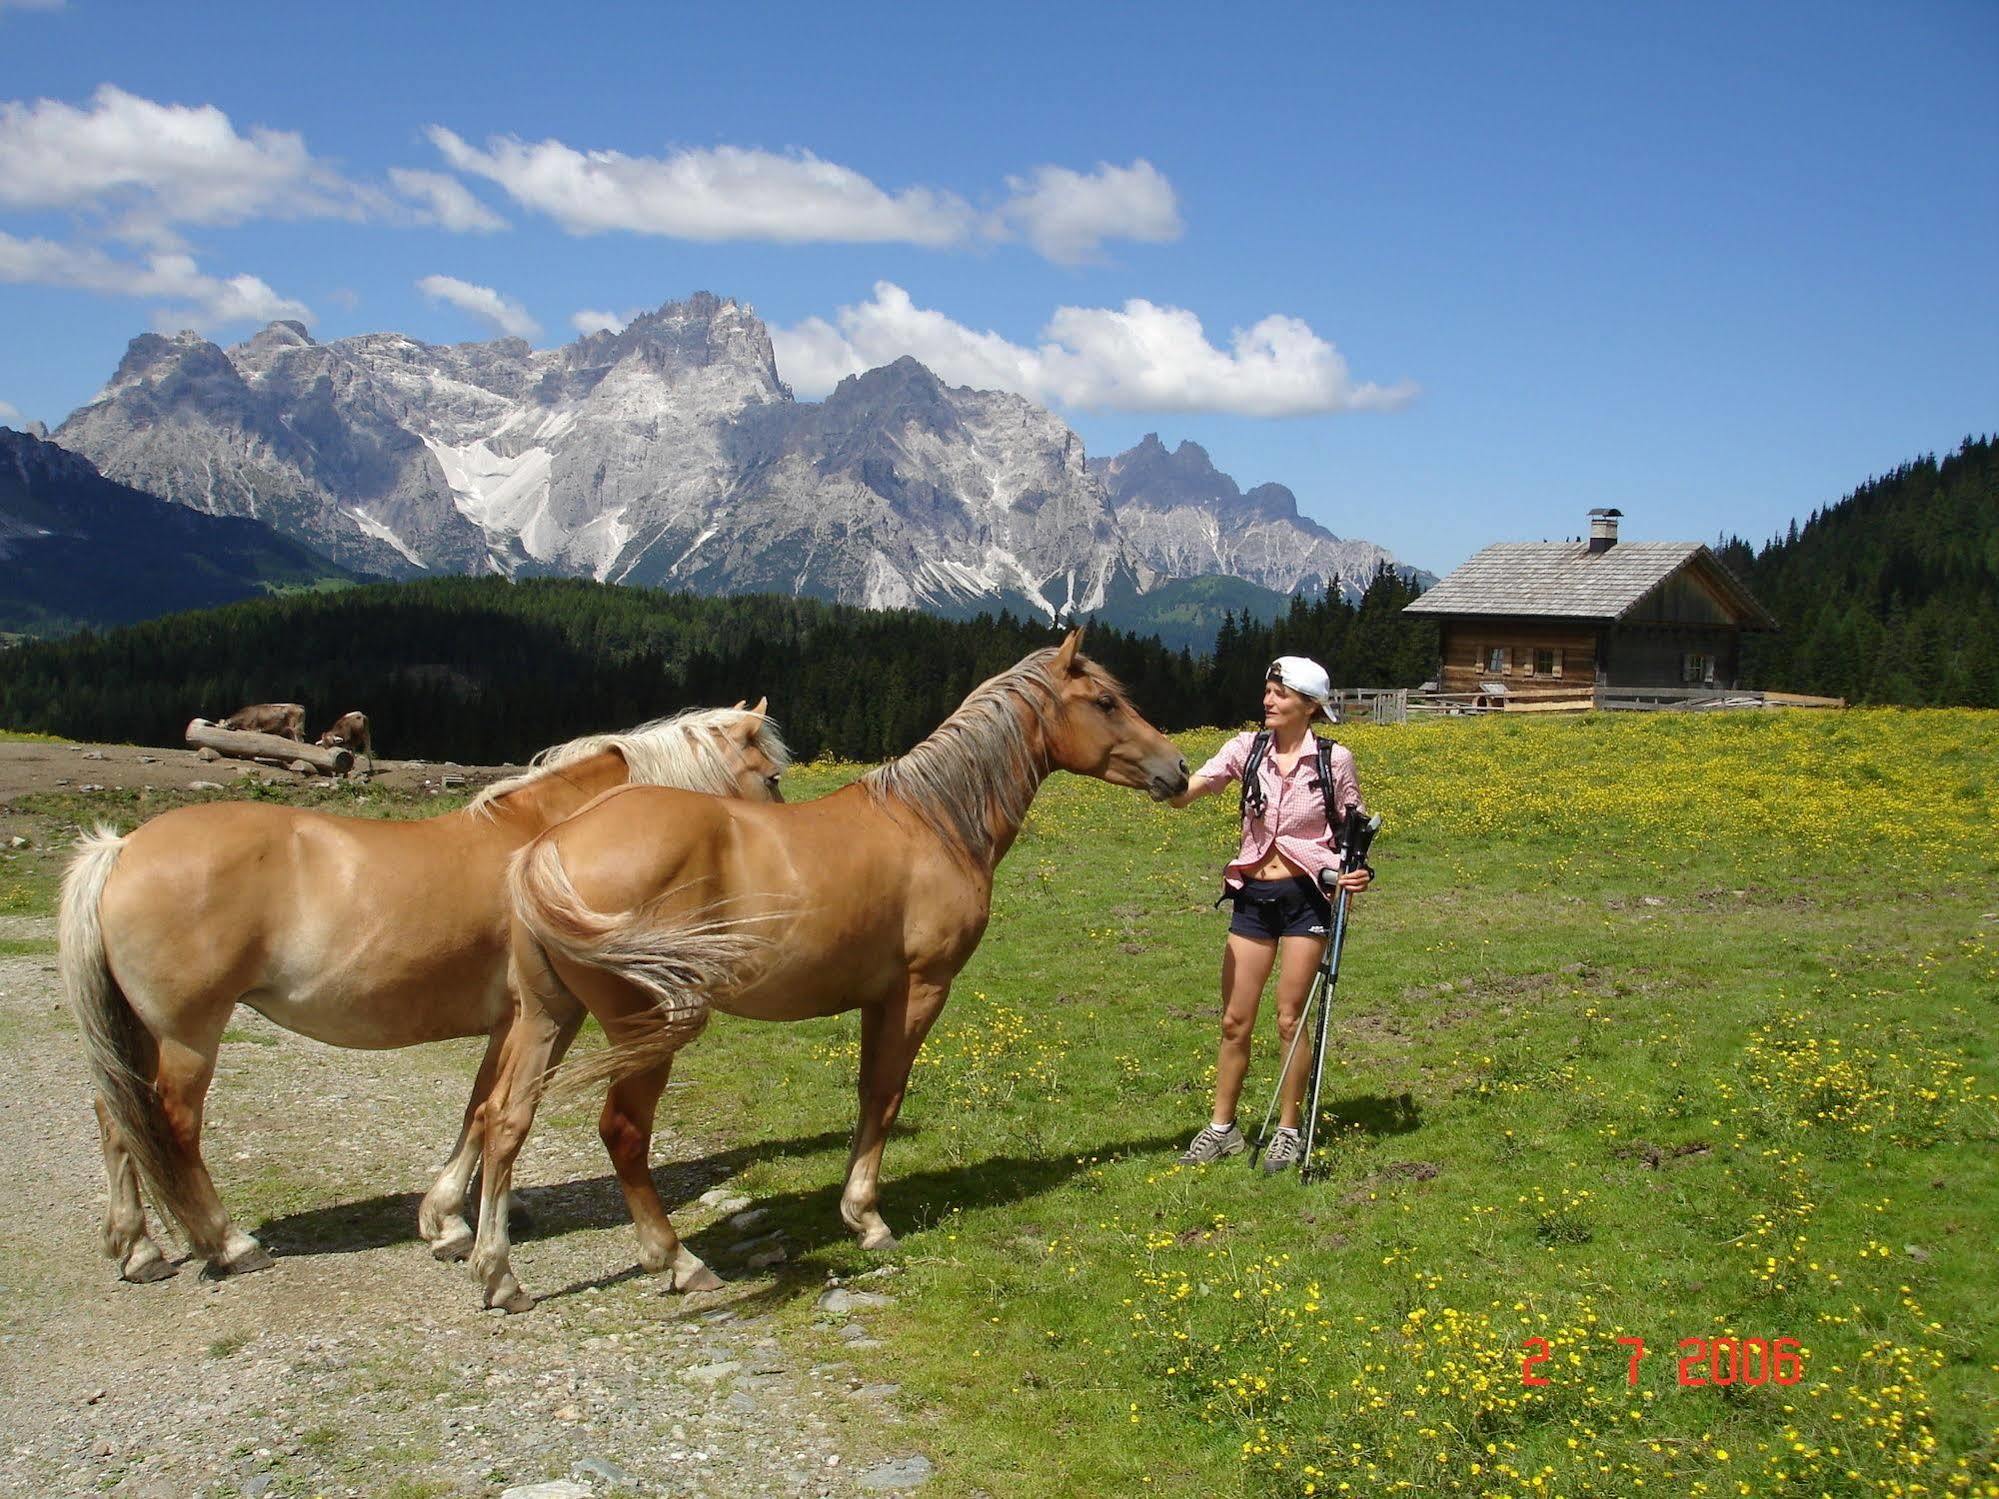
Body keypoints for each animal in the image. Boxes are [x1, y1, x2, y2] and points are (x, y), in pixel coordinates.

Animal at [56, 711, 787, 1287]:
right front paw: (463, 1227)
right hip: (188, 1034)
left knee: (117, 1115)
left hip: (140, 1031)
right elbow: (496, 1111)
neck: (555, 841)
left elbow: (478, 1109)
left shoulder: (510, 1022)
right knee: (172, 1123)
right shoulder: (541, 1018)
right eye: (772, 778)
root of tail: (121, 847)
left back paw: (140, 1248)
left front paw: (450, 1220)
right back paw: (228, 1243)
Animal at [467, 635, 1183, 1311]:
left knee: (505, 1120)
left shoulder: (877, 999)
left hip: (548, 1017)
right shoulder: (919, 990)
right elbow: (885, 1097)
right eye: (1106, 702)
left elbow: (869, 1092)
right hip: (638, 1030)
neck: (933, 819)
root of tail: (545, 847)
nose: (1176, 768)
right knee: (621, 1132)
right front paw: (867, 1219)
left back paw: (499, 1275)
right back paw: (678, 1262)